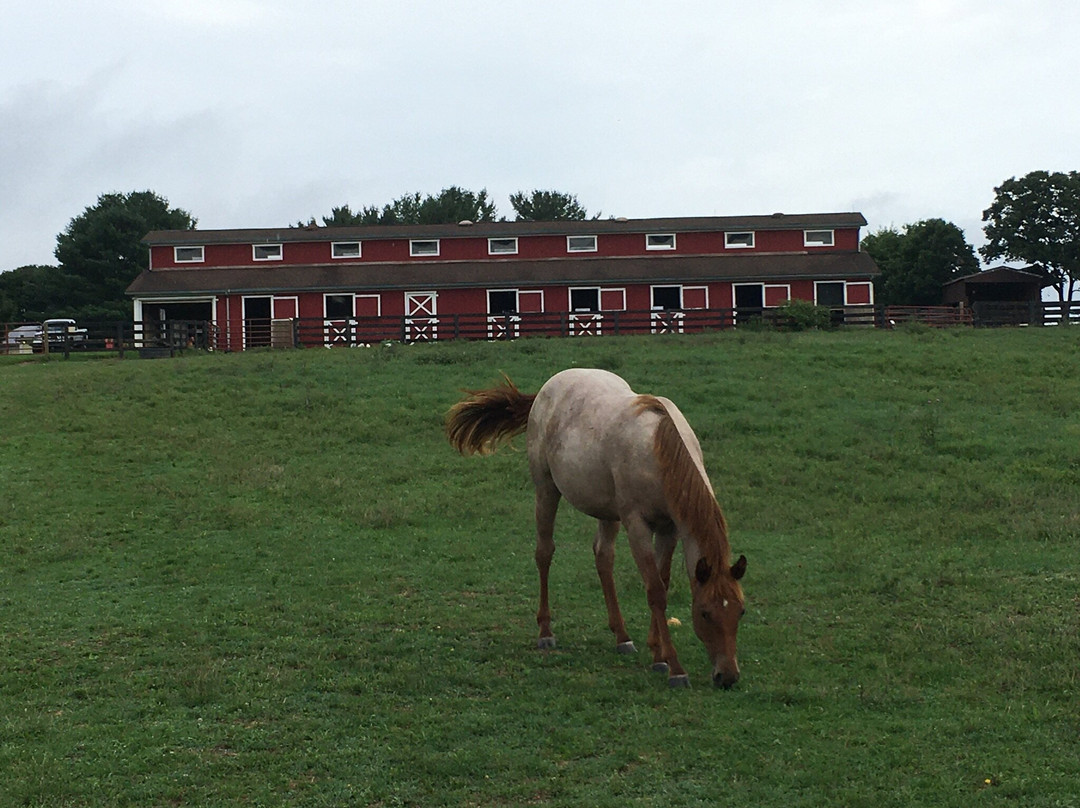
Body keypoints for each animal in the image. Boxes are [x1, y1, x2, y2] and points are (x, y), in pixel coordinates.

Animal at [442, 367, 747, 687]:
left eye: (741, 611)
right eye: (704, 613)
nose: (727, 676)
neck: (657, 449)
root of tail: (547, 388)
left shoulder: (669, 528)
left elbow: (661, 583)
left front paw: (656, 652)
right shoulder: (637, 524)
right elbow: (655, 591)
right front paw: (674, 667)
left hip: (607, 511)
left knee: (603, 557)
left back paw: (622, 637)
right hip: (546, 489)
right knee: (544, 552)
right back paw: (546, 632)